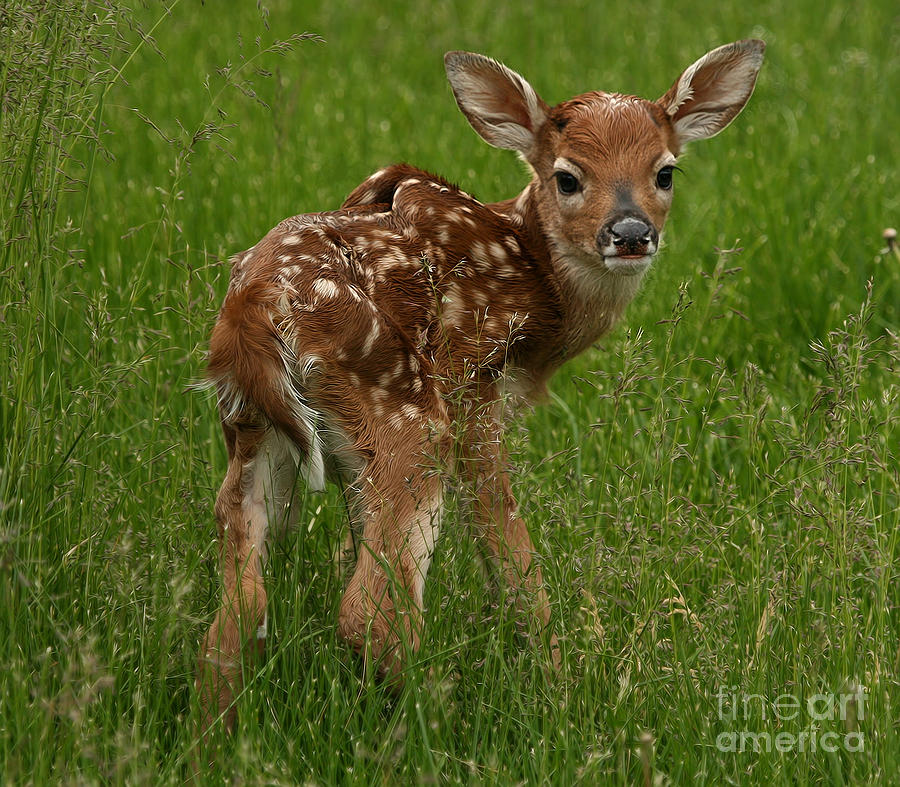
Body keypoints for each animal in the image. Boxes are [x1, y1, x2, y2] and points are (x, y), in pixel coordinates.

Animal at [197, 40, 768, 728]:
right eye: (567, 176)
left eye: (666, 172)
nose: (631, 234)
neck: (539, 288)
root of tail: (250, 306)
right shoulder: (474, 383)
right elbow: (511, 554)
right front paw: (558, 684)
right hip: (406, 414)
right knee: (369, 614)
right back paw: (434, 720)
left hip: (255, 434)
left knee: (236, 615)